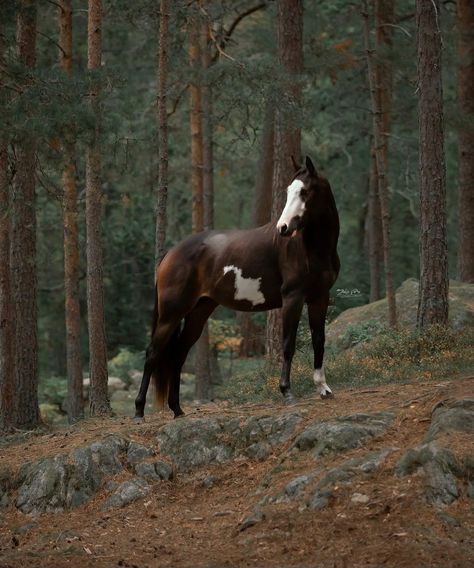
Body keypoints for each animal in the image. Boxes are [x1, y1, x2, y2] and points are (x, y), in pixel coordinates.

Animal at [135, 155, 338, 422]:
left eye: (304, 191)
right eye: (287, 192)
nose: (283, 228)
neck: (310, 250)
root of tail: (170, 253)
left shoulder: (319, 297)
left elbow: (319, 340)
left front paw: (324, 389)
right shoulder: (293, 299)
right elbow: (287, 345)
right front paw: (287, 392)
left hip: (199, 312)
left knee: (178, 355)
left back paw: (177, 409)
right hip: (171, 314)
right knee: (153, 354)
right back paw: (139, 411)